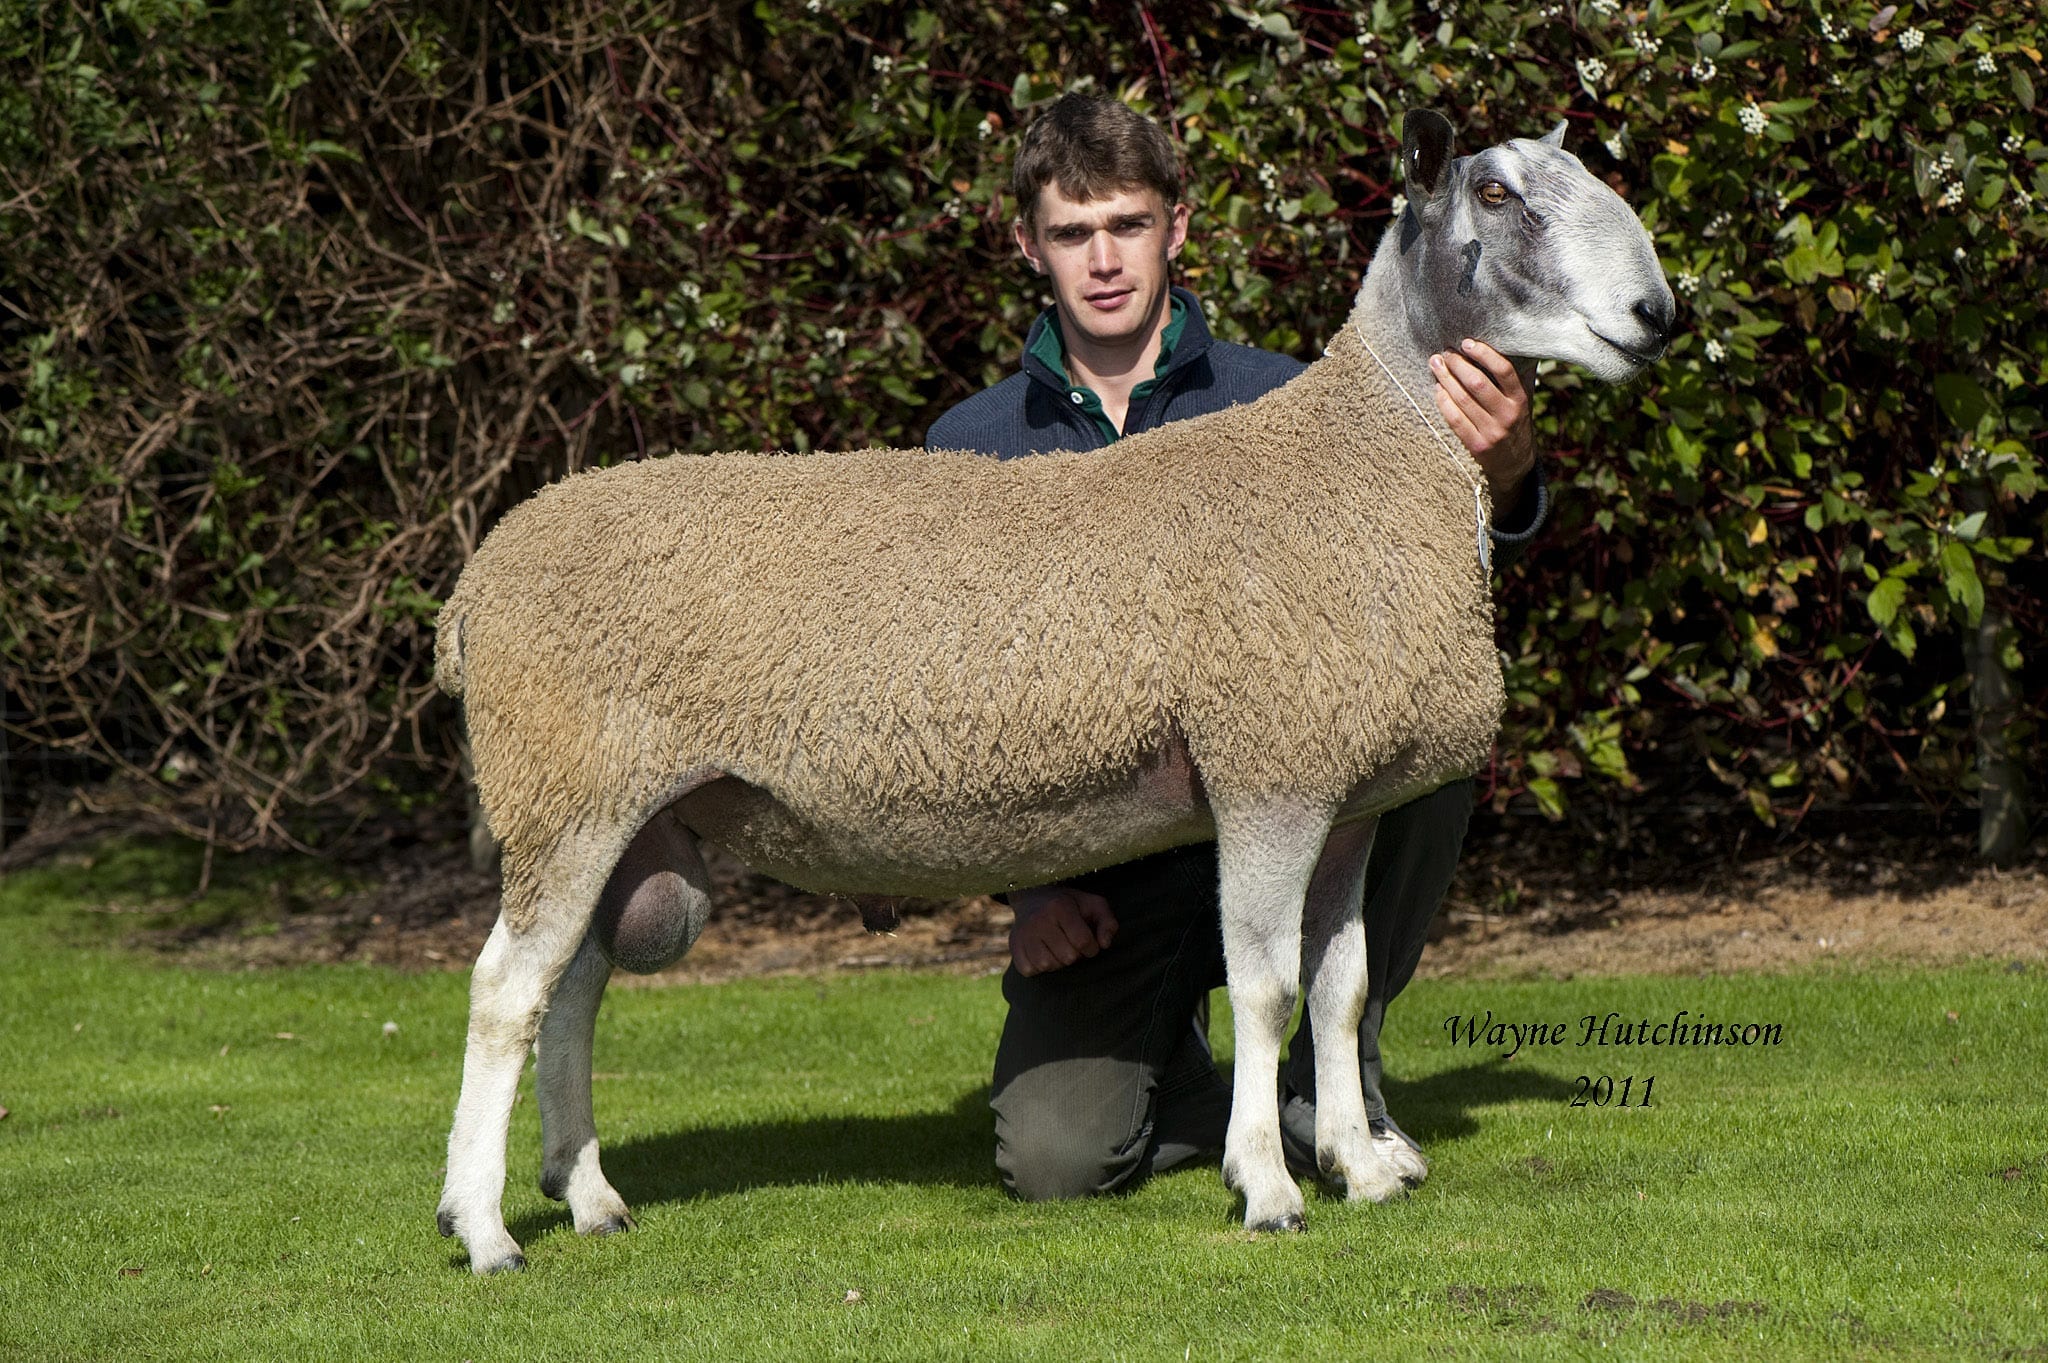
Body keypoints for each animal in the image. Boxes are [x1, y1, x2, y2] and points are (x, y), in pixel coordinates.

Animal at [436, 111, 1679, 1268]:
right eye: (1494, 192)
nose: (1656, 314)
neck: (1365, 456)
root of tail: (477, 580)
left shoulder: (1346, 792)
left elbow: (1341, 987)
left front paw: (1358, 1164)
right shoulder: (1265, 771)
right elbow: (1267, 989)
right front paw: (1268, 1186)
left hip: (619, 811)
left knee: (572, 992)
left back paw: (587, 1196)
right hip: (563, 783)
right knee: (503, 993)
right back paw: (483, 1225)